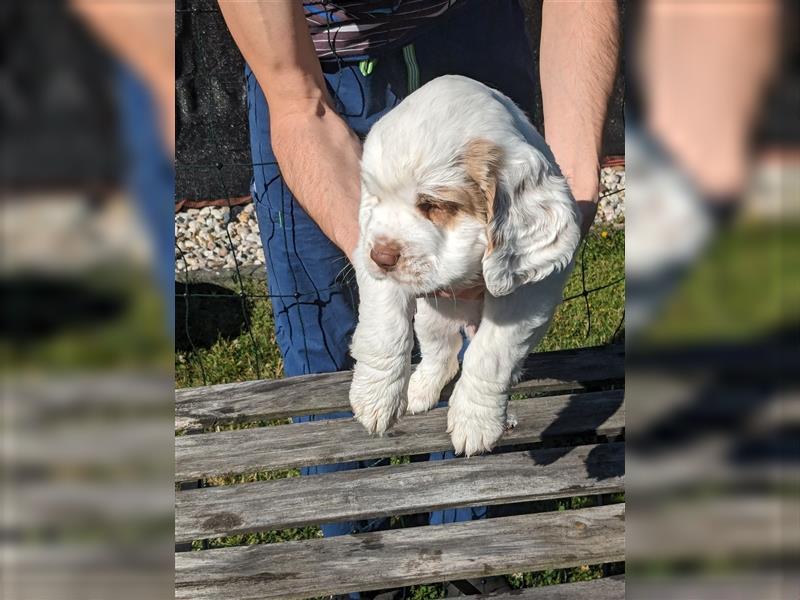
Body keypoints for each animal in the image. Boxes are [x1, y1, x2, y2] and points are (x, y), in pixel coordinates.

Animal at [346, 75, 580, 454]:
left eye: (432, 205)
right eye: (375, 197)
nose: (381, 257)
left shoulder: (529, 292)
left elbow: (491, 353)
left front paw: (475, 422)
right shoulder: (370, 261)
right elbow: (384, 329)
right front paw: (375, 399)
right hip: (431, 319)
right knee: (441, 352)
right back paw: (419, 389)